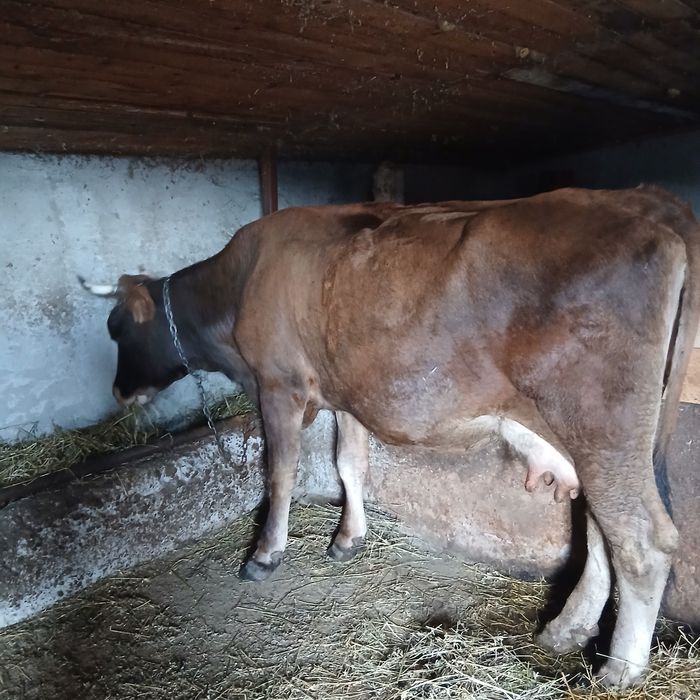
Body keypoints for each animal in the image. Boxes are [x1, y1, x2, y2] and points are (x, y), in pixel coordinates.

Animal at [83, 186, 700, 688]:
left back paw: (618, 670)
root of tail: (645, 200)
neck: (238, 286)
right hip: (602, 445)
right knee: (601, 534)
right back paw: (565, 631)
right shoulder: (346, 391)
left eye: (116, 327)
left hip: (602, 429)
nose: (117, 392)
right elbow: (349, 463)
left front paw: (264, 554)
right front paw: (347, 538)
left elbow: (279, 474)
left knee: (642, 541)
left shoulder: (279, 385)